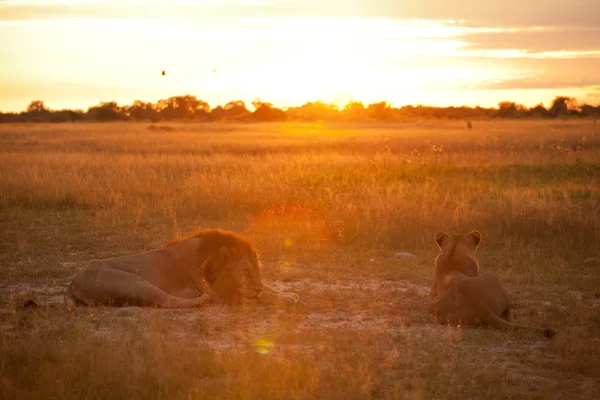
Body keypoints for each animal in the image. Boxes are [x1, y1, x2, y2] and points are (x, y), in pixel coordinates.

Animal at [61, 228, 300, 310]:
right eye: (246, 272)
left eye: (258, 270)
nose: (256, 288)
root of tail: (73, 281)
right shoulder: (224, 292)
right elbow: (259, 296)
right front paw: (280, 297)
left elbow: (269, 288)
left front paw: (287, 294)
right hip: (134, 282)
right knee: (167, 302)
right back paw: (202, 301)